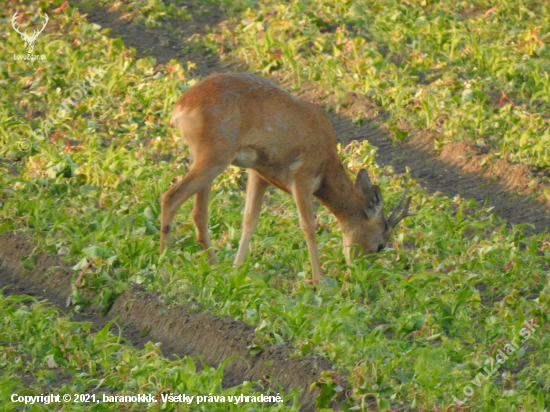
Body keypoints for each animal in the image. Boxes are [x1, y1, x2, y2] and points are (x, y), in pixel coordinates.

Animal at [160, 72, 414, 282]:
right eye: (381, 245)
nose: (362, 275)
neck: (327, 166)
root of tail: (180, 108)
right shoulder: (303, 175)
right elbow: (308, 225)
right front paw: (320, 281)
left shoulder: (259, 173)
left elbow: (249, 220)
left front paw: (236, 271)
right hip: (214, 156)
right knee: (170, 197)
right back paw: (163, 266)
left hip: (208, 159)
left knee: (198, 212)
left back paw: (214, 268)